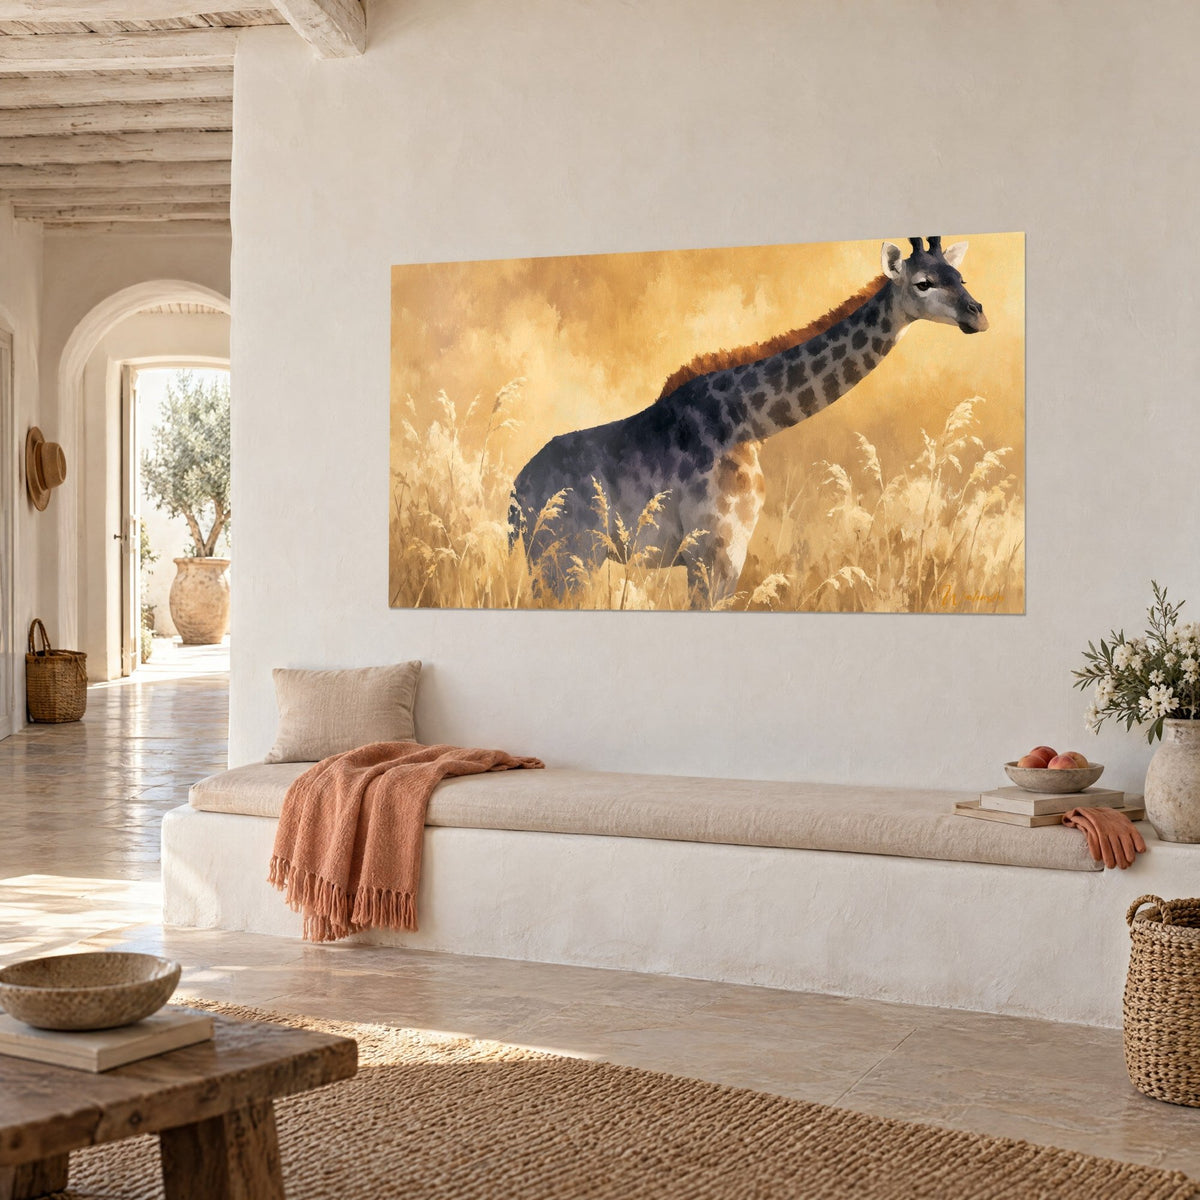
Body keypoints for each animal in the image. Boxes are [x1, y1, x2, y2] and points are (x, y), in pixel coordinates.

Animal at [508, 237, 988, 606]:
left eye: (960, 277)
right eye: (923, 283)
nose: (977, 314)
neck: (750, 420)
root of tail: (515, 493)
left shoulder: (726, 553)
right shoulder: (712, 550)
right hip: (567, 555)